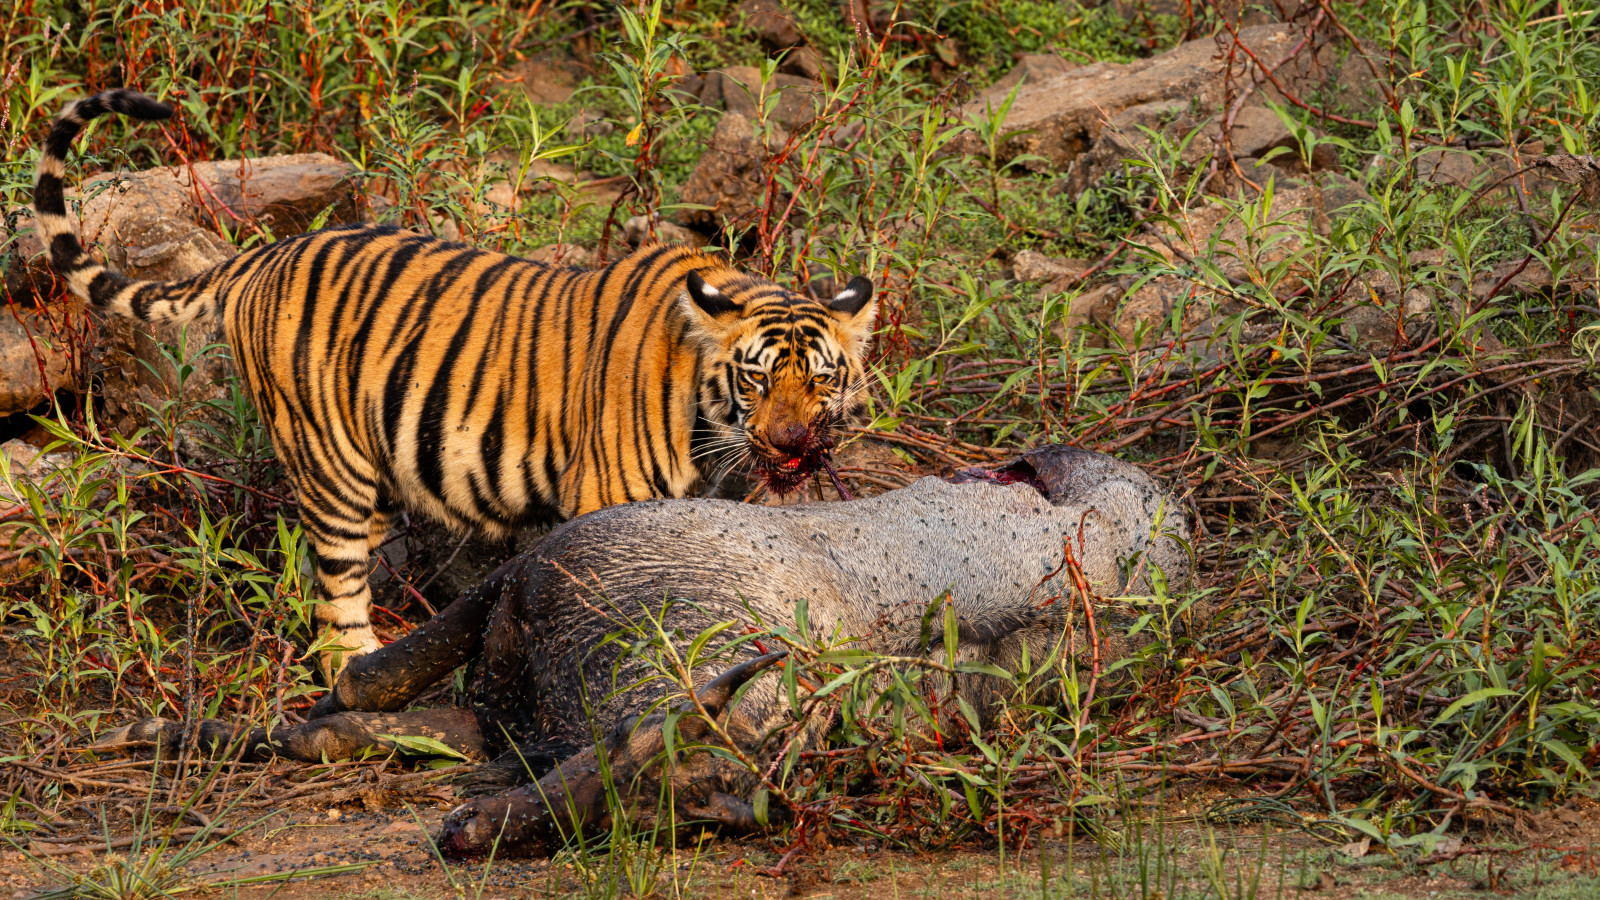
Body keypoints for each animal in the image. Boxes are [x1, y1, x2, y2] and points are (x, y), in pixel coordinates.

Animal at [31, 92, 876, 679]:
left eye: (820, 381)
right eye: (756, 380)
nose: (791, 446)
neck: (708, 419)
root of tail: (263, 254)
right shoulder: (607, 499)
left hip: (375, 472)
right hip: (330, 465)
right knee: (335, 597)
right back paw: (358, 678)